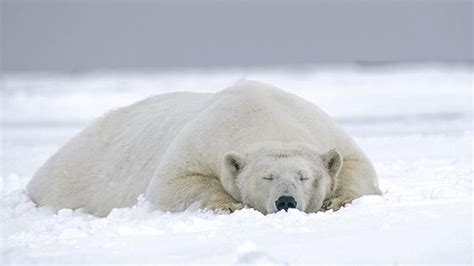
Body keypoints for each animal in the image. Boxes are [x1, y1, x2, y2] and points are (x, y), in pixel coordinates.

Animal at [25, 81, 384, 216]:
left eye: (304, 176)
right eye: (266, 177)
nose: (286, 201)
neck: (265, 116)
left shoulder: (322, 128)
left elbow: (358, 168)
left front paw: (337, 200)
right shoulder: (204, 138)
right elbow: (171, 184)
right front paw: (229, 205)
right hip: (73, 177)